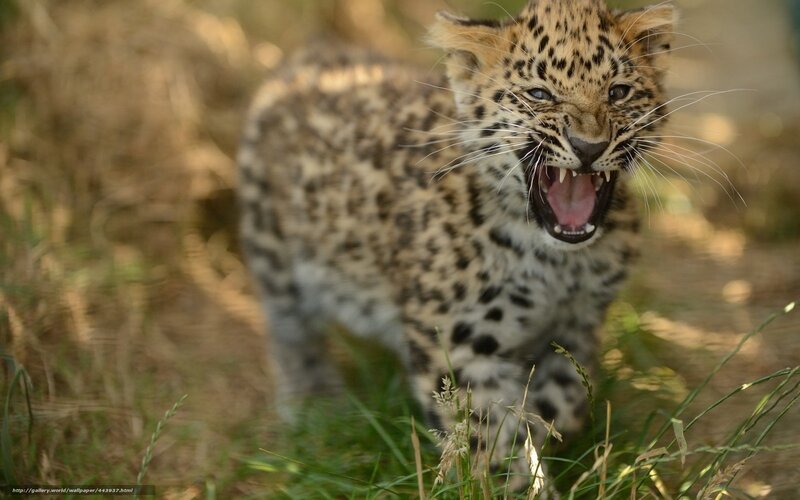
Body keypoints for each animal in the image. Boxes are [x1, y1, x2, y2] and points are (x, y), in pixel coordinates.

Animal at [237, 0, 676, 488]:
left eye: (618, 92)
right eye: (540, 94)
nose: (588, 147)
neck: (555, 260)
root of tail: (307, 59)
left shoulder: (577, 327)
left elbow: (565, 402)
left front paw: (534, 444)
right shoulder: (458, 341)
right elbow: (485, 431)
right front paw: (499, 482)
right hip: (272, 245)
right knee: (289, 328)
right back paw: (313, 399)